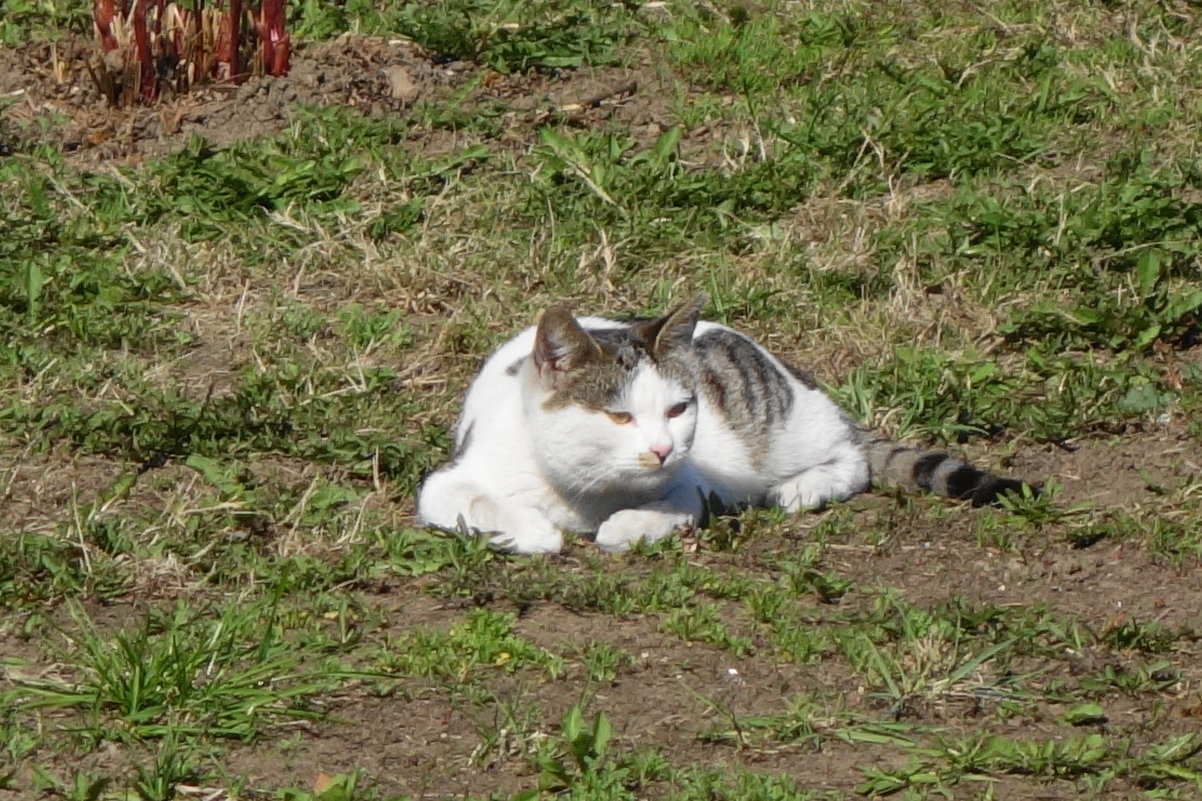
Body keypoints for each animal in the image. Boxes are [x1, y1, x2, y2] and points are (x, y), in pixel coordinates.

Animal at [415, 295, 1033, 553]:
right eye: (619, 415)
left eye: (677, 410)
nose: (662, 449)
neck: (585, 491)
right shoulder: (446, 480)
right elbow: (476, 502)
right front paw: (537, 532)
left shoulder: (696, 483)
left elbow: (664, 509)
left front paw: (626, 526)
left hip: (785, 433)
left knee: (853, 456)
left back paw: (799, 489)